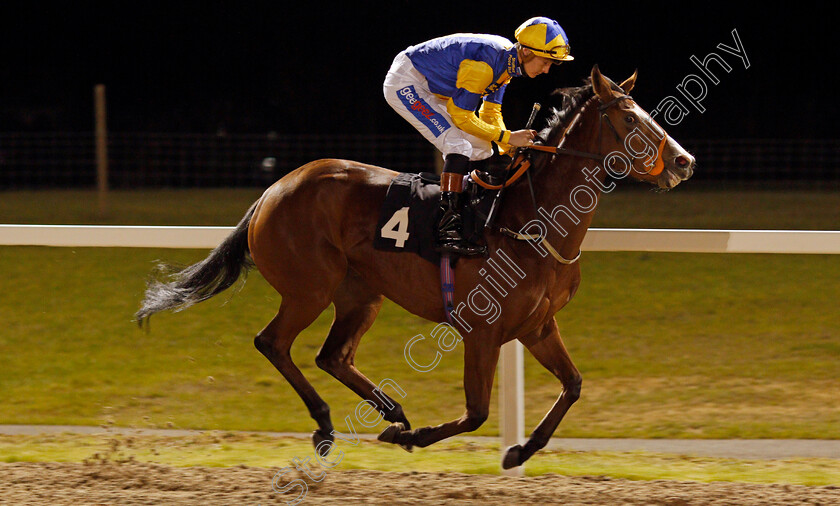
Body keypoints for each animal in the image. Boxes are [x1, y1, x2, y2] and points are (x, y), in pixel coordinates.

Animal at [136, 65, 696, 468]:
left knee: (332, 355)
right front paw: (416, 438)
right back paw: (329, 425)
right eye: (630, 120)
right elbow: (476, 412)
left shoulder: (537, 326)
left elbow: (573, 386)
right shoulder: (482, 330)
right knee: (273, 343)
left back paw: (392, 411)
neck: (528, 220)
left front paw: (520, 449)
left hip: (362, 293)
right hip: (309, 289)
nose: (684, 162)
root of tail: (275, 188)